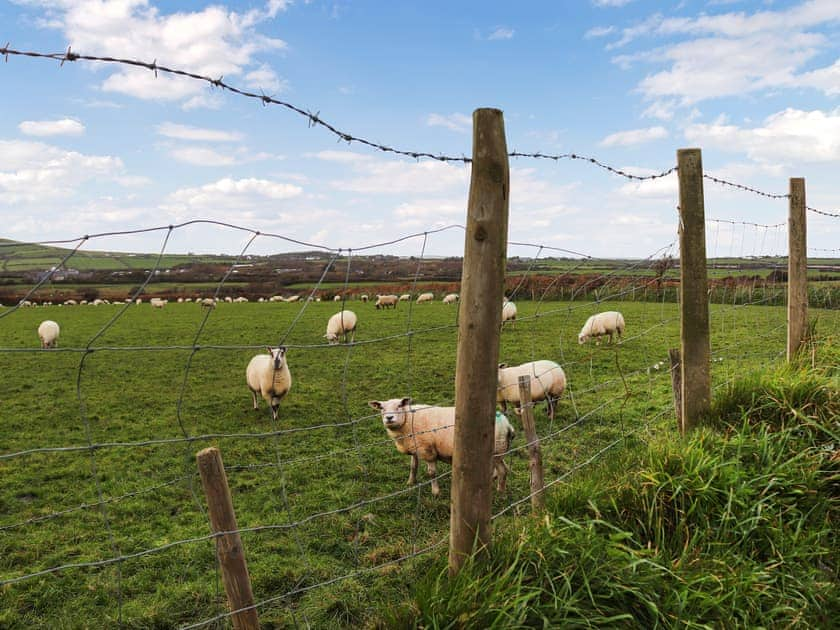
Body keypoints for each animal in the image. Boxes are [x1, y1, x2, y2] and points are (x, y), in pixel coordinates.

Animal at [370, 400, 516, 498]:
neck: (408, 421)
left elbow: (432, 473)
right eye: (381, 408)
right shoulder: (416, 447)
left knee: (502, 470)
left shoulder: (428, 450)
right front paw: (410, 482)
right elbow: (413, 466)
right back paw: (496, 484)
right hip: (500, 450)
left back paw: (499, 492)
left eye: (399, 405)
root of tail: (508, 425)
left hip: (495, 450)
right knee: (501, 468)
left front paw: (435, 492)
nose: (389, 418)